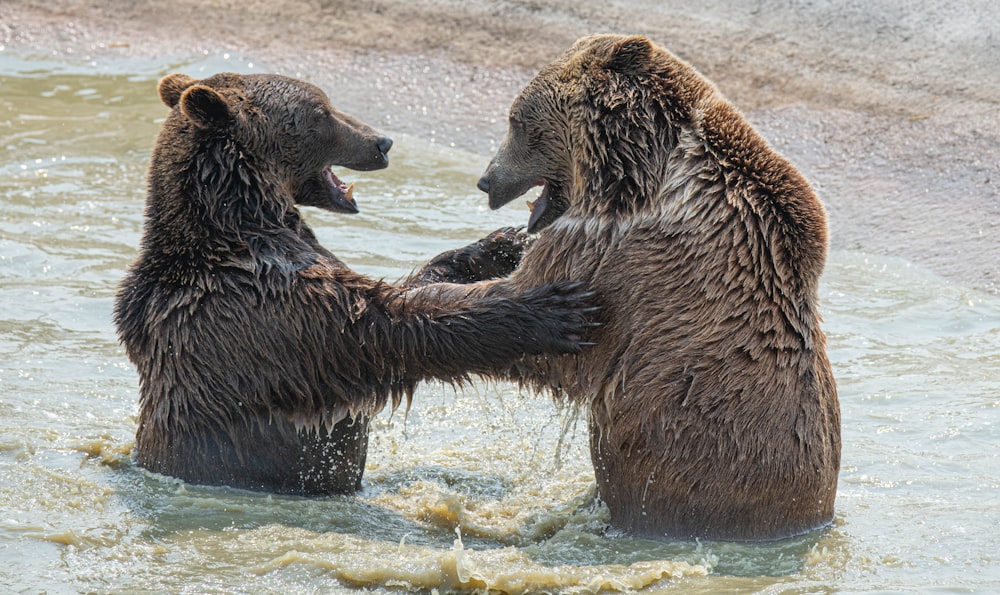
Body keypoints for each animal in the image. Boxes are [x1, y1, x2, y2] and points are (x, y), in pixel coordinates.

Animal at [119, 72, 600, 496]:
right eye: (321, 110)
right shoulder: (266, 304)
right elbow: (387, 323)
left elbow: (410, 286)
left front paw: (505, 244)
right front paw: (554, 310)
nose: (382, 142)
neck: (243, 218)